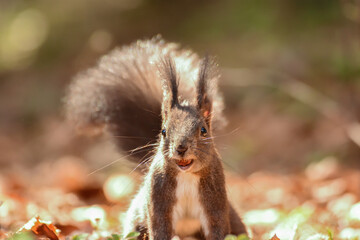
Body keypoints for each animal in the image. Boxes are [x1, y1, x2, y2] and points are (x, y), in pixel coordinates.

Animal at [64, 36, 248, 240]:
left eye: (203, 130)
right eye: (164, 131)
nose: (181, 148)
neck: (186, 176)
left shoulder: (215, 201)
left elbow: (217, 228)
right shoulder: (158, 200)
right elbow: (160, 228)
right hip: (136, 221)